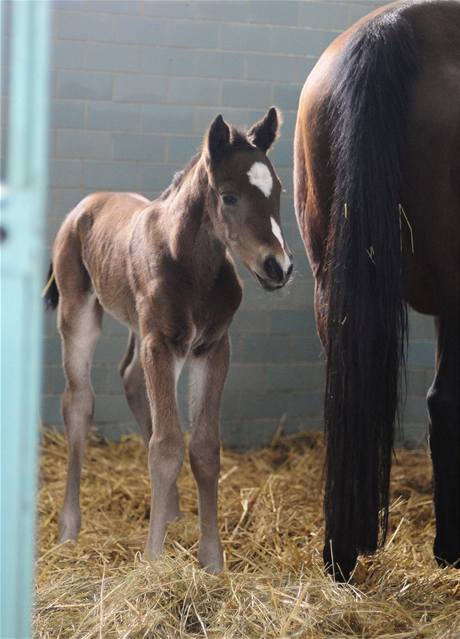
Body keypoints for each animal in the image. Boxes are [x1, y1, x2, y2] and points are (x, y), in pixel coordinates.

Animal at [45, 107, 292, 572]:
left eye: (279, 190)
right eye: (228, 196)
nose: (279, 267)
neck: (191, 267)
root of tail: (87, 204)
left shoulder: (211, 347)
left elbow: (204, 448)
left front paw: (212, 559)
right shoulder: (160, 343)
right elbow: (166, 446)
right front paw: (154, 559)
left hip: (138, 327)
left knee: (129, 378)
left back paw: (173, 509)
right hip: (79, 310)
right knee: (78, 401)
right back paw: (69, 528)